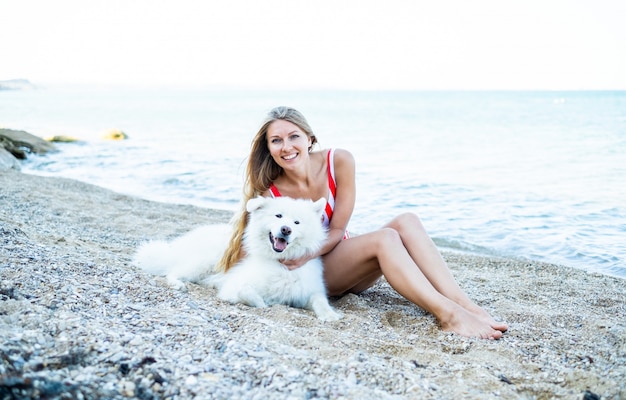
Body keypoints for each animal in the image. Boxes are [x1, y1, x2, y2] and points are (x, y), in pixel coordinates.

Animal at [132, 197, 342, 322]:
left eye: (297, 222)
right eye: (278, 215)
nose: (286, 229)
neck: (280, 262)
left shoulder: (309, 291)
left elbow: (320, 300)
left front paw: (330, 314)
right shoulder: (236, 284)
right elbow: (247, 292)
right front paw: (262, 302)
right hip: (204, 262)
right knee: (173, 272)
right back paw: (178, 283)